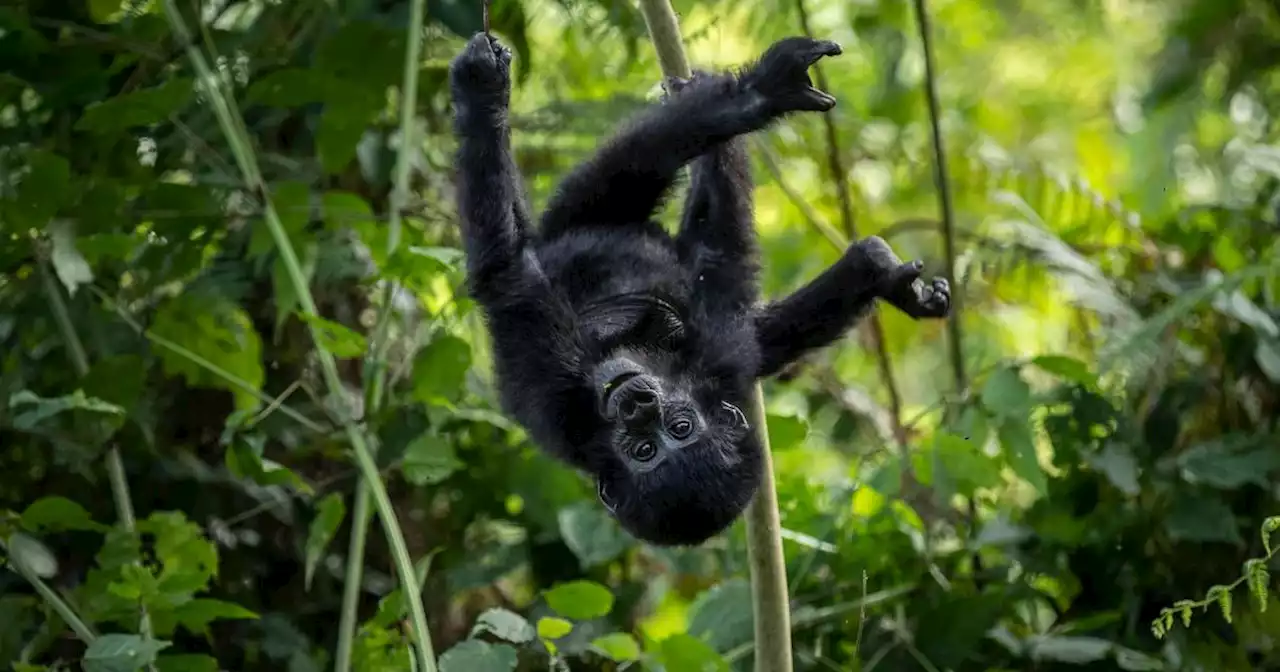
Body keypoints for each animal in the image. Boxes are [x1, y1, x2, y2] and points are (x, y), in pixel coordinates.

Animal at [450, 34, 952, 545]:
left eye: (679, 429)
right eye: (645, 450)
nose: (636, 405)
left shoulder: (719, 360)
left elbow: (506, 271)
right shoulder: (558, 402)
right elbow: (507, 272)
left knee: (640, 170)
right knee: (637, 168)